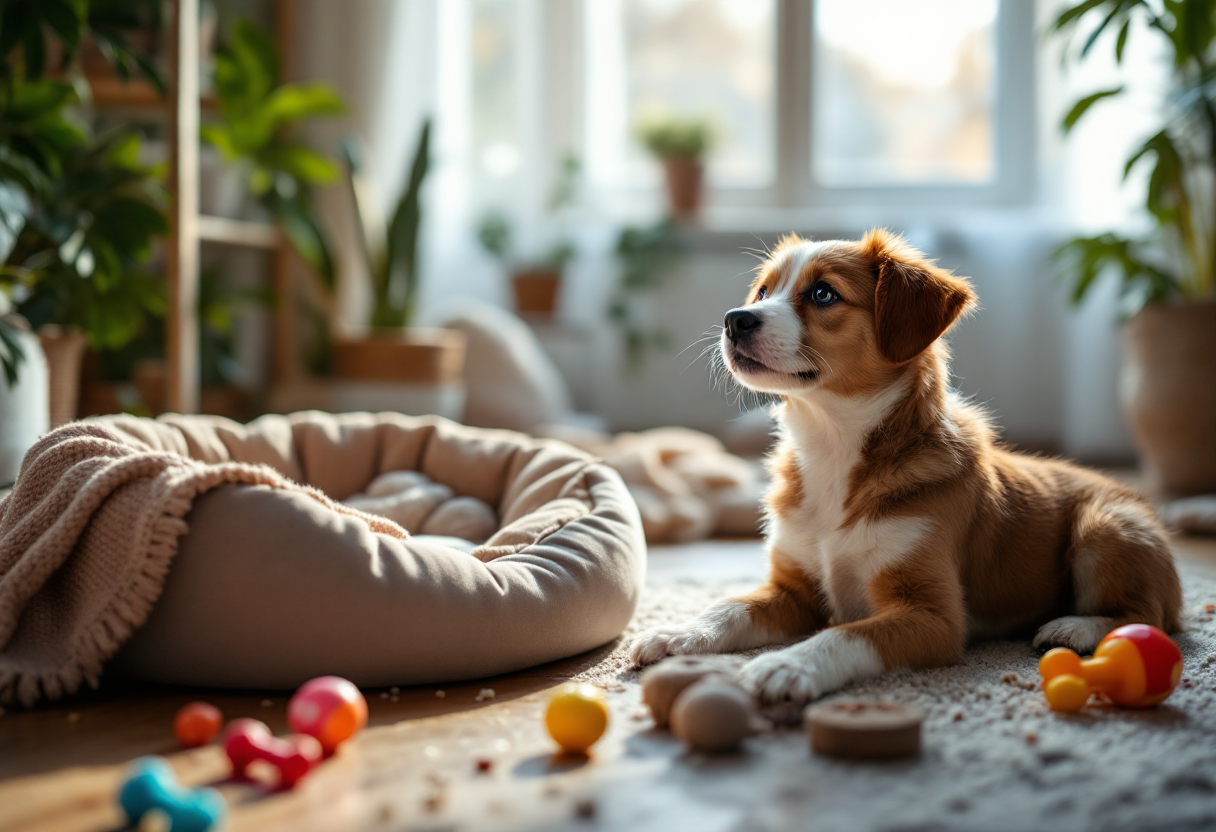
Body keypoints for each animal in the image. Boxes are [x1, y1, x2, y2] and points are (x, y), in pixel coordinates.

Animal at [632, 227, 1181, 700]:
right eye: (764, 290)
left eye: (823, 294)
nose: (736, 319)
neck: (832, 444)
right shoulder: (792, 589)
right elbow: (728, 608)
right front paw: (678, 632)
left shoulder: (932, 616)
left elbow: (846, 635)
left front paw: (788, 663)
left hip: (1104, 528)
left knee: (1150, 615)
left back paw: (1077, 626)